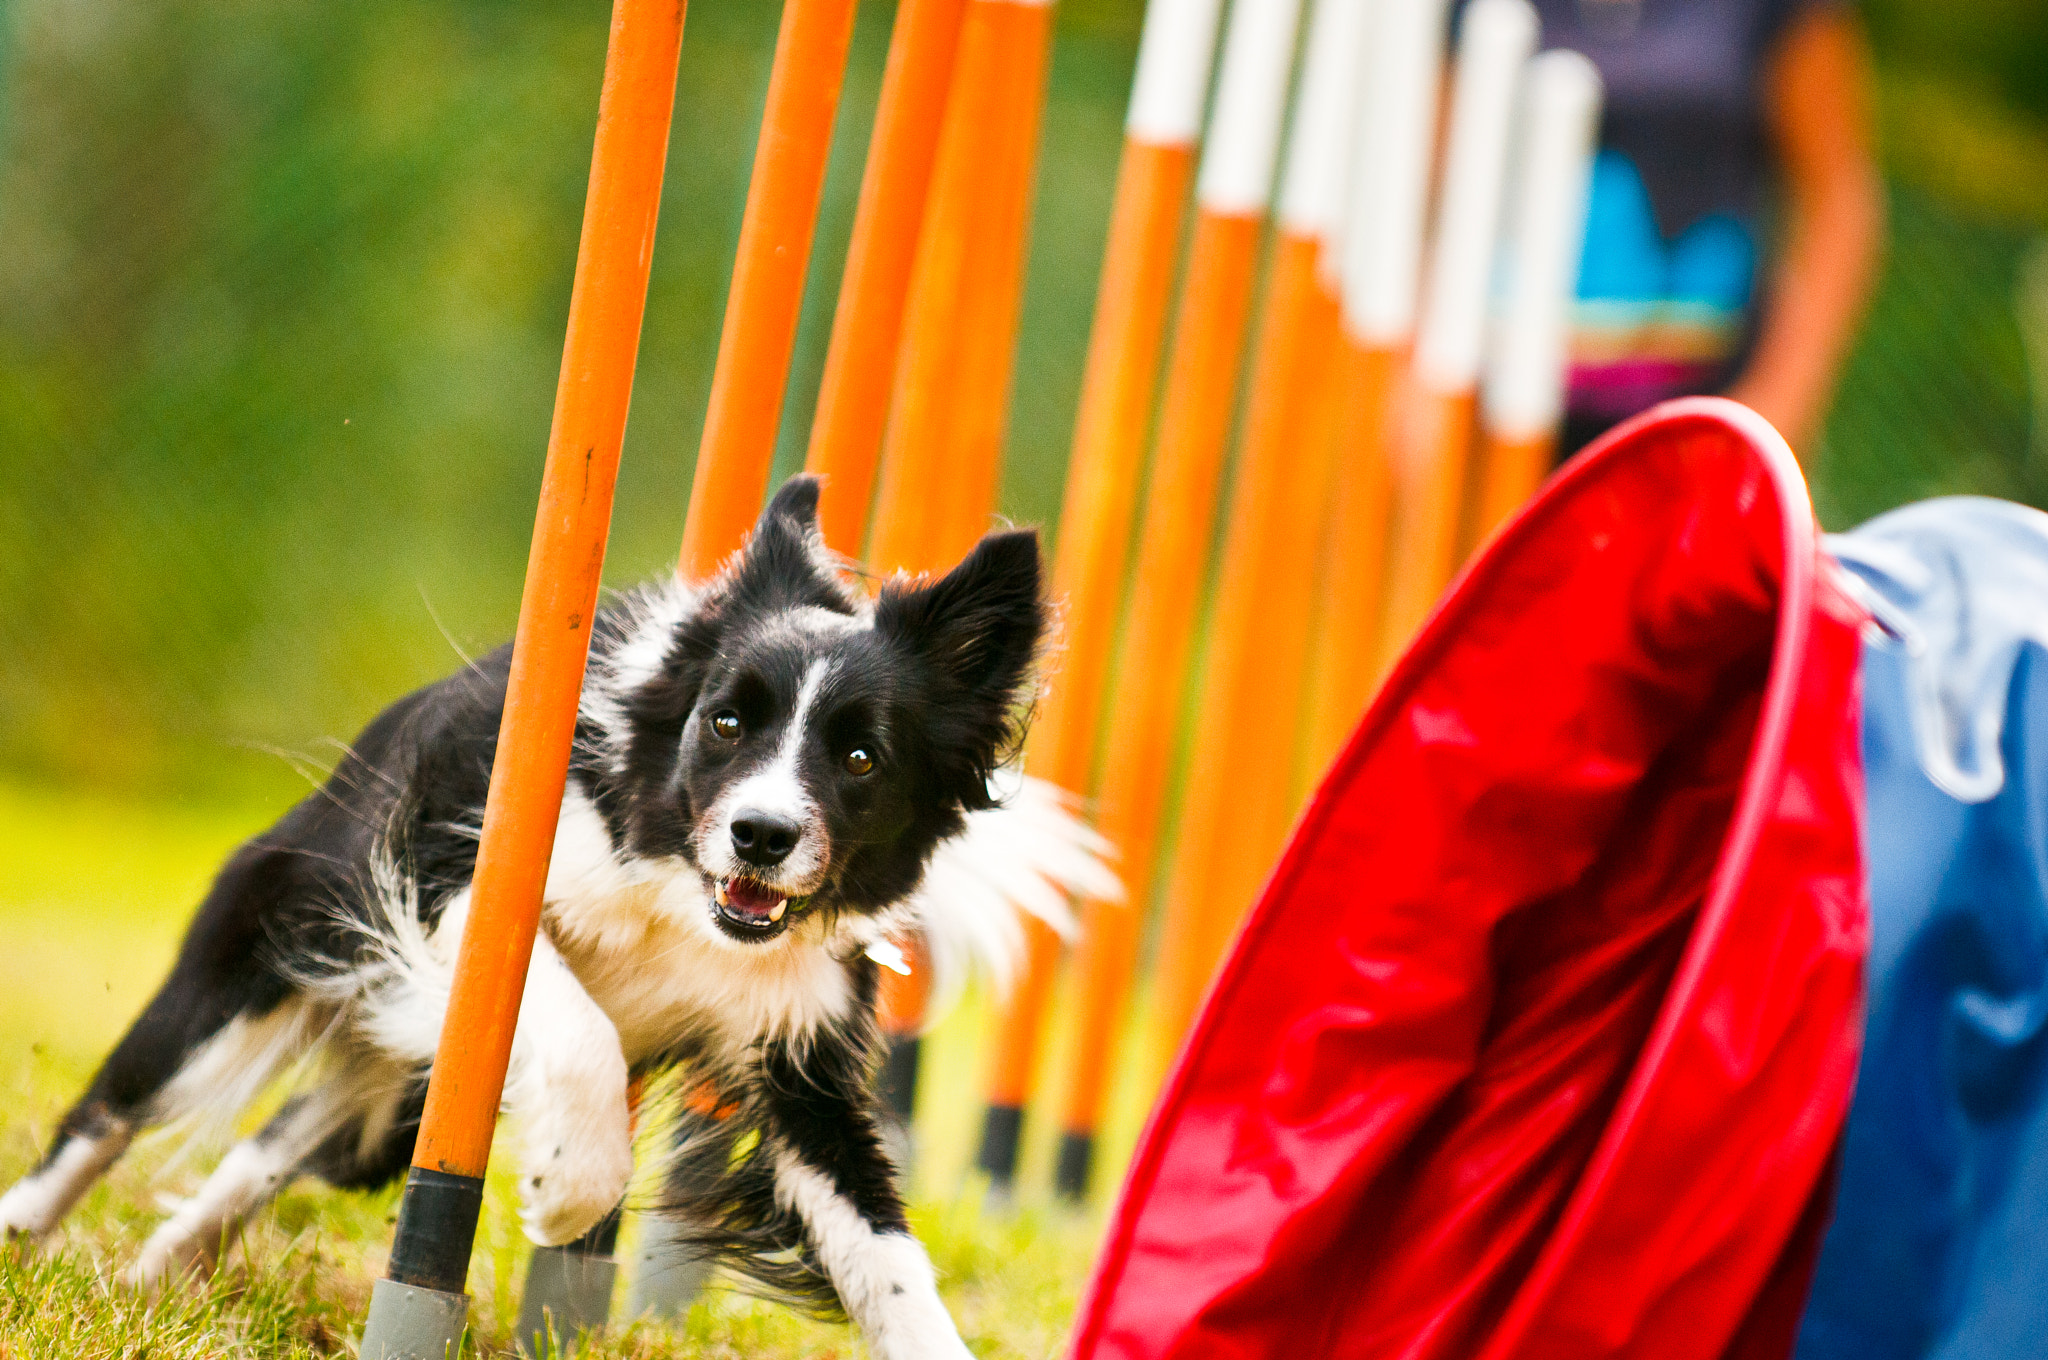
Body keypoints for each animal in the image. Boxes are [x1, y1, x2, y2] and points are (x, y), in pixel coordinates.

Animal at [0, 477, 1114, 1360]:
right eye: (725, 722)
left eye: (860, 757)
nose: (759, 835)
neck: (686, 900)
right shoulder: (462, 895)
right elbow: (577, 1027)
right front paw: (566, 1187)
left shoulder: (802, 1060)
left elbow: (884, 1252)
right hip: (267, 942)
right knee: (111, 1107)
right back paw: (26, 1236)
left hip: (388, 1097)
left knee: (268, 1146)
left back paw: (160, 1269)